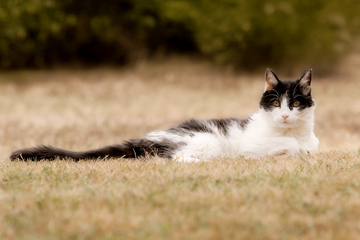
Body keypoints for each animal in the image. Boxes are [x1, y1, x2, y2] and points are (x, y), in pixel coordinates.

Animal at [9, 67, 318, 162]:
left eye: (295, 104)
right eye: (276, 104)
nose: (285, 116)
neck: (293, 132)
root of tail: (149, 137)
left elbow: (308, 148)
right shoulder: (253, 145)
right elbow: (289, 146)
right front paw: (290, 147)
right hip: (206, 141)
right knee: (177, 158)